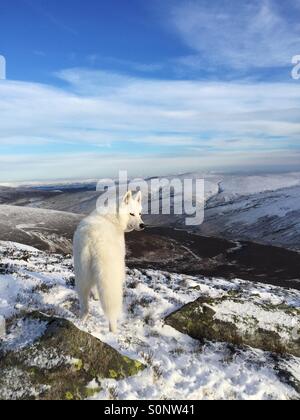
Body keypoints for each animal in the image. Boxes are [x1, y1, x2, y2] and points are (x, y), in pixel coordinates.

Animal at [72, 189, 144, 332]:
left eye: (139, 213)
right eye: (131, 213)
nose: (142, 225)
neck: (113, 217)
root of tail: (92, 240)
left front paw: (95, 297)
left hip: (81, 275)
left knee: (85, 305)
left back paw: (82, 319)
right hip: (109, 280)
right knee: (111, 309)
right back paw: (113, 330)